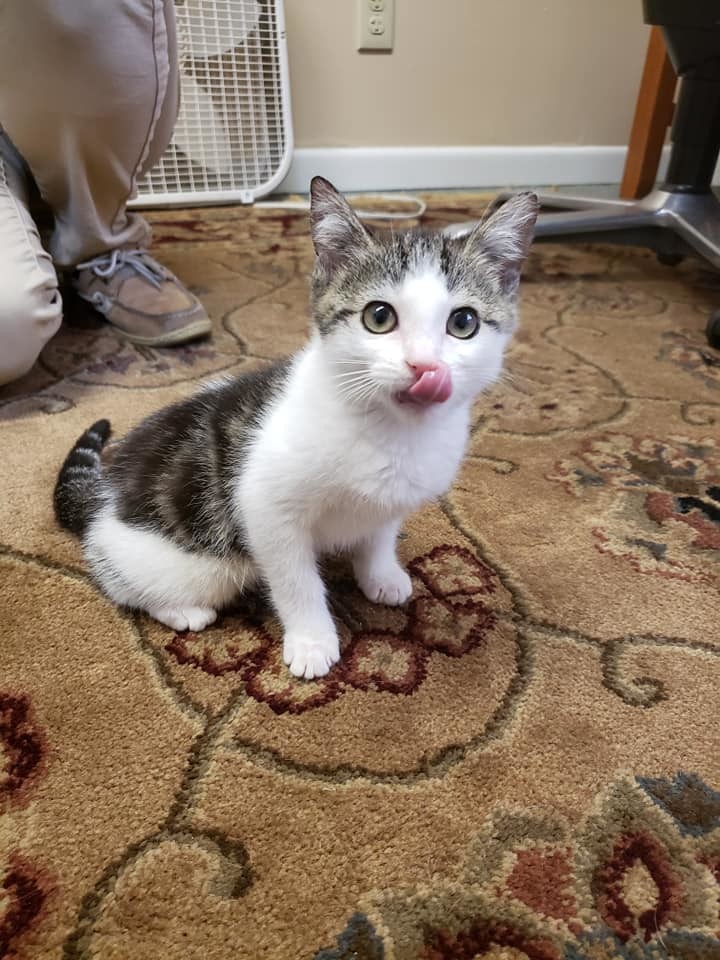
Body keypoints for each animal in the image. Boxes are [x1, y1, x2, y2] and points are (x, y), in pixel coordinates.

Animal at [54, 176, 536, 680]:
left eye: (463, 322)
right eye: (379, 316)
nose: (424, 366)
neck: (393, 433)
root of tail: (103, 493)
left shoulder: (393, 498)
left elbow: (380, 534)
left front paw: (380, 574)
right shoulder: (266, 509)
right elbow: (295, 580)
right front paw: (311, 640)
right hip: (191, 566)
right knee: (122, 581)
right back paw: (180, 610)